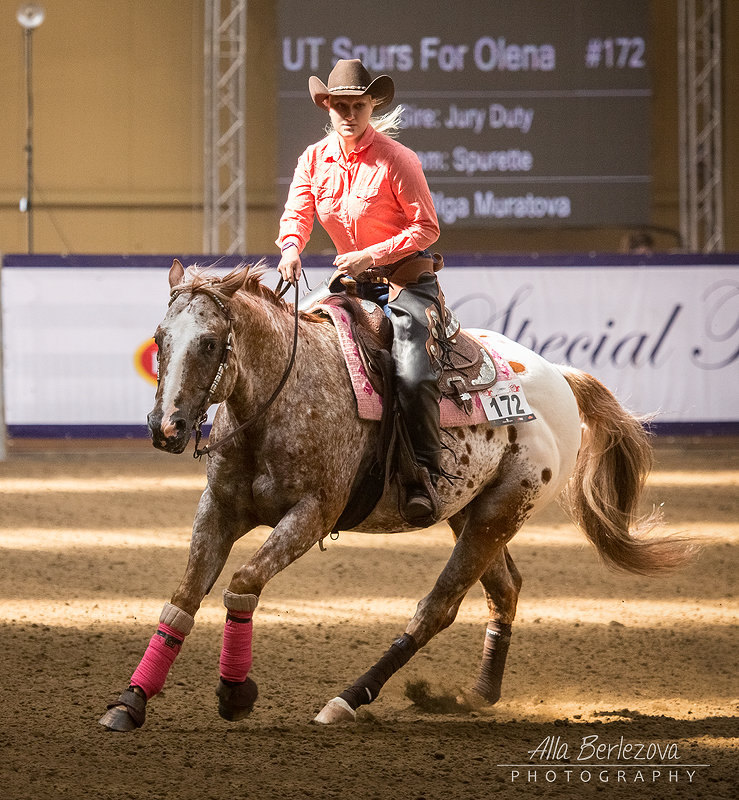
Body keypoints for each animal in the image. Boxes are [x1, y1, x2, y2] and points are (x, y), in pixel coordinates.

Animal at [98, 258, 692, 732]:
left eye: (208, 343)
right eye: (160, 338)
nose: (166, 427)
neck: (280, 400)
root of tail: (559, 379)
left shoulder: (312, 515)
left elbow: (242, 584)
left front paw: (235, 693)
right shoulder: (218, 510)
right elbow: (182, 600)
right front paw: (130, 701)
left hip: (501, 511)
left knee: (439, 607)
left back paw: (346, 700)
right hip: (473, 511)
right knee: (505, 589)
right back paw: (478, 694)